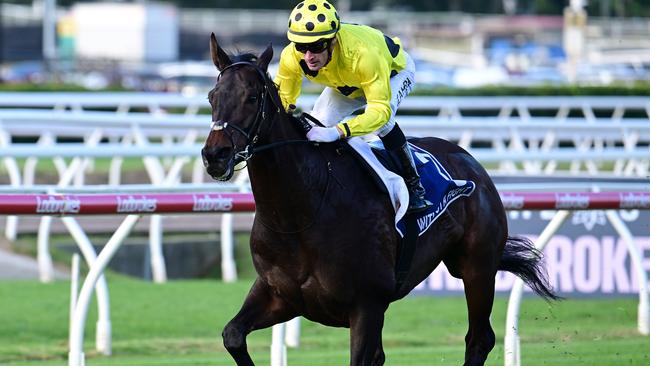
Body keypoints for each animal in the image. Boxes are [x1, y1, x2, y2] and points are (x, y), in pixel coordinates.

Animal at [202, 33, 556, 364]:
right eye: (212, 97)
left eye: (251, 98)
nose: (215, 155)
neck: (300, 213)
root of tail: (472, 163)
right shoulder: (279, 295)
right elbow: (232, 335)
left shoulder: (367, 304)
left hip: (477, 267)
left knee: (479, 338)